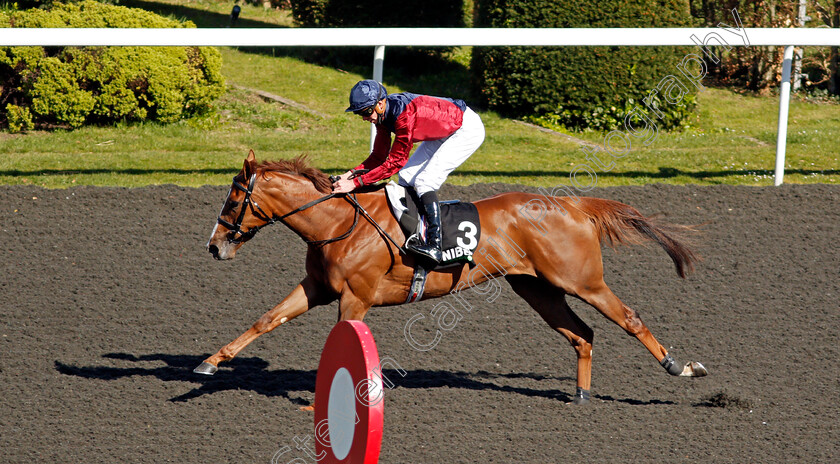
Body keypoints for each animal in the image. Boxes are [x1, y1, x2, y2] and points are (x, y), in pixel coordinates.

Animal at [199, 150, 708, 404]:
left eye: (233, 199)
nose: (214, 246)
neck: (337, 223)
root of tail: (573, 203)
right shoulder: (318, 288)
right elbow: (267, 319)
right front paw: (209, 364)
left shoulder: (356, 297)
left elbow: (340, 343)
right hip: (537, 288)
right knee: (582, 334)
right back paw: (580, 395)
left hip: (581, 281)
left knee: (630, 319)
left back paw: (681, 366)